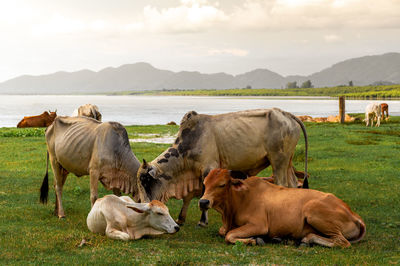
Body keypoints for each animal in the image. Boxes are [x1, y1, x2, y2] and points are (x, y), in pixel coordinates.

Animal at [136, 108, 308, 227]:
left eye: (146, 181)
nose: (144, 205)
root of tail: (287, 114)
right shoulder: (195, 173)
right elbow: (188, 197)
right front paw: (181, 218)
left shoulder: (208, 169)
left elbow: (204, 196)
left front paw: (202, 221)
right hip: (288, 162)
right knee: (293, 185)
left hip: (278, 161)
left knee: (282, 184)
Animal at [199, 169, 366, 248]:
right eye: (205, 183)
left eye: (222, 184)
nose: (203, 202)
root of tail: (353, 214)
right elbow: (223, 232)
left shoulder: (259, 225)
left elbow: (229, 235)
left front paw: (254, 240)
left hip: (313, 211)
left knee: (342, 242)